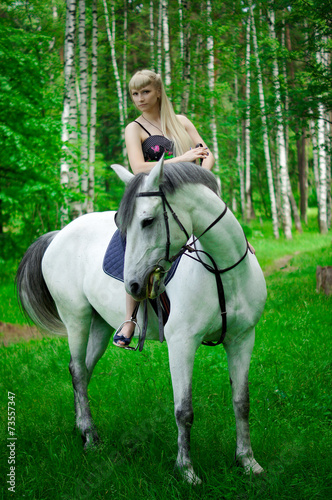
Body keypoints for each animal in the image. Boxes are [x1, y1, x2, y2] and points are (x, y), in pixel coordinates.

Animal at [17, 158, 268, 482]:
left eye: (147, 221)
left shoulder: (242, 339)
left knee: (82, 371)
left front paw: (247, 462)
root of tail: (58, 234)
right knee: (77, 371)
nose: (133, 286)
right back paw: (89, 437)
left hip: (100, 325)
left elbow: (242, 402)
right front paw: (186, 471)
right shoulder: (182, 344)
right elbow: (184, 411)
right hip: (76, 318)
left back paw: (83, 431)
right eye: (122, 224)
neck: (221, 270)